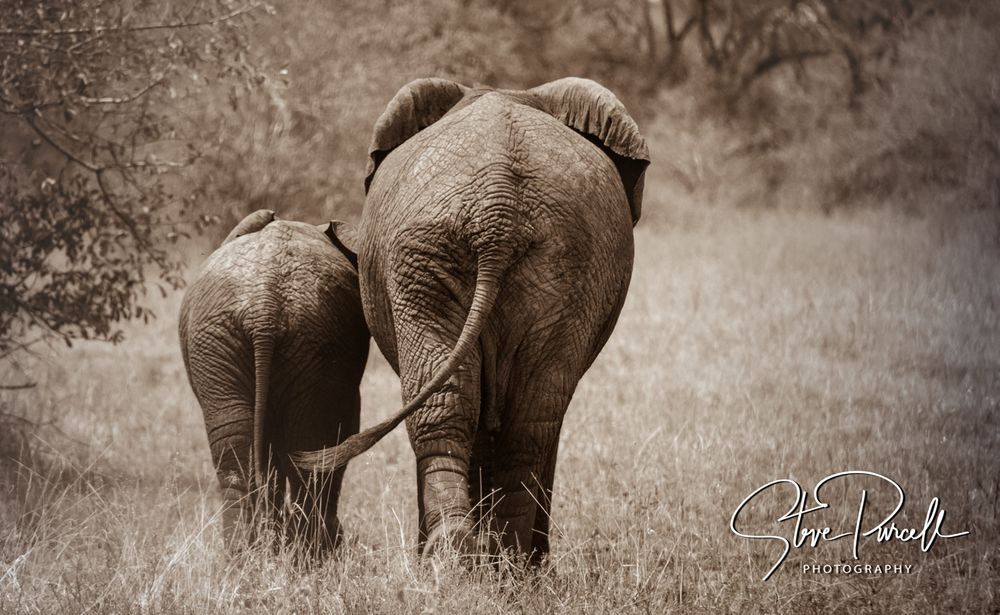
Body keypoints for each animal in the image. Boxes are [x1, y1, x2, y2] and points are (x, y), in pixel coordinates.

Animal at [178, 209, 370, 556]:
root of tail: (263, 307)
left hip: (228, 339)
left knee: (240, 445)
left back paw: (248, 555)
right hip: (293, 338)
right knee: (308, 446)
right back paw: (305, 554)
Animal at [294, 77, 648, 564]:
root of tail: (499, 211)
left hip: (517, 260)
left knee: (488, 409)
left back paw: (475, 557)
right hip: (467, 256)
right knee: (522, 416)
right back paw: (494, 559)